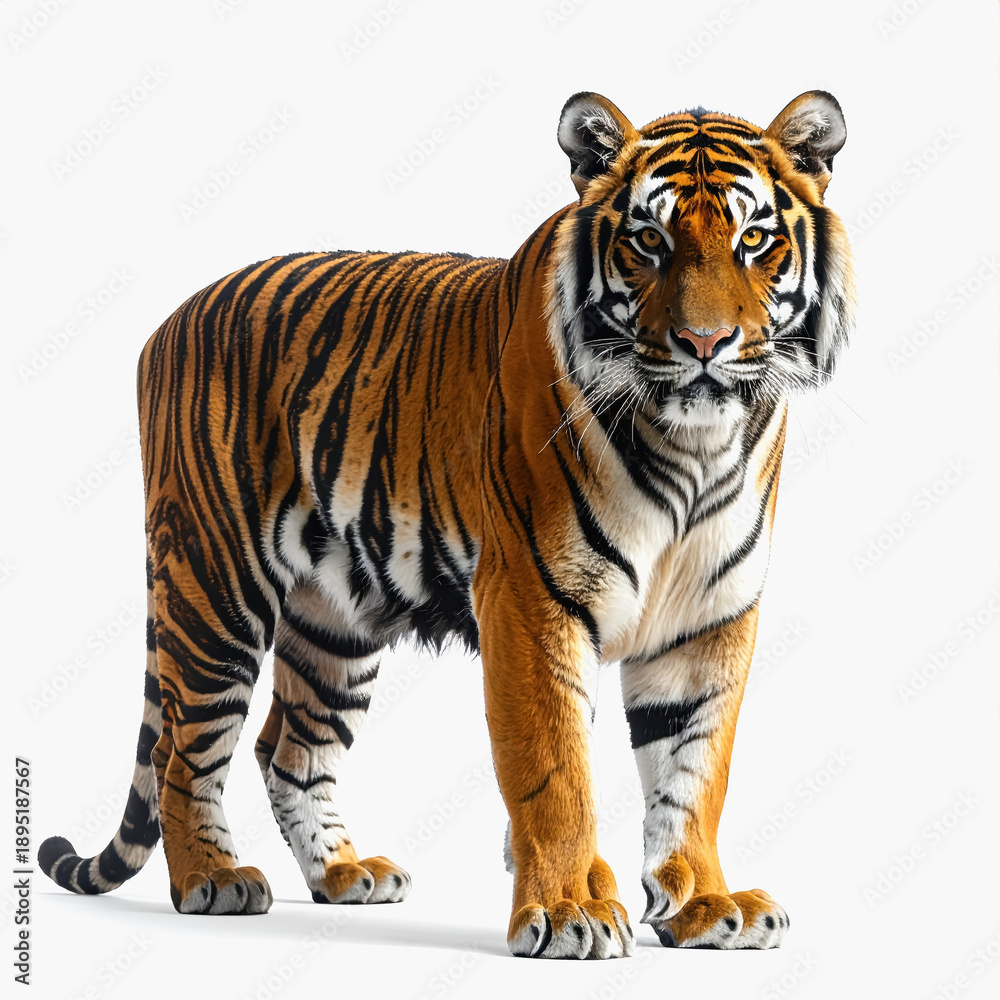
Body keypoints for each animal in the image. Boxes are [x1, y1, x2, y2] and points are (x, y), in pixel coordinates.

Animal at [38, 89, 855, 958]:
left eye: (754, 239)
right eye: (649, 241)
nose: (705, 343)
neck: (693, 446)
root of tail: (170, 320)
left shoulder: (709, 619)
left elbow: (694, 774)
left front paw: (705, 902)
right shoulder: (532, 599)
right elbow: (554, 770)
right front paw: (568, 910)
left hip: (337, 622)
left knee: (288, 748)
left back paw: (342, 874)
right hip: (213, 584)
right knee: (184, 749)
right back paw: (213, 879)